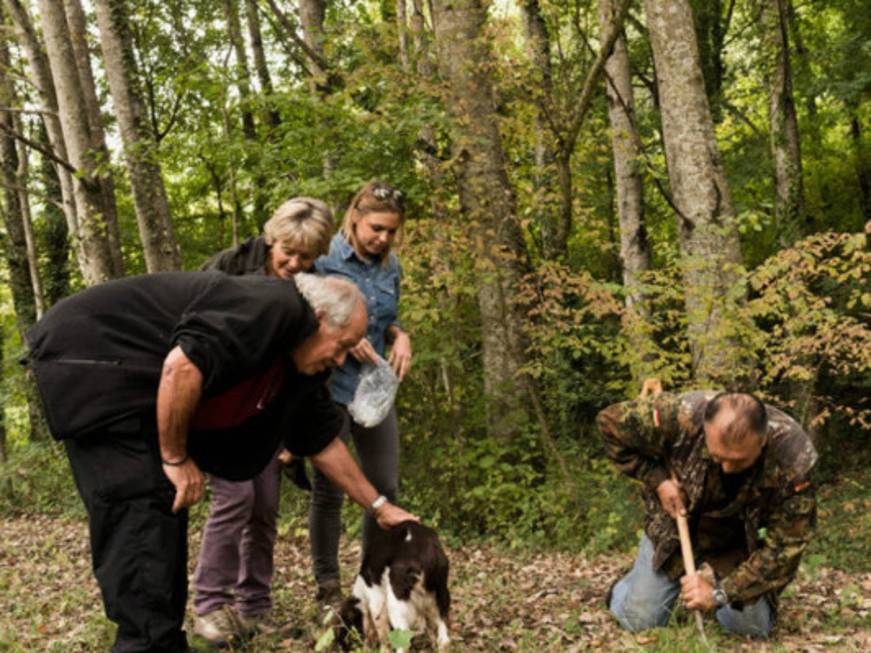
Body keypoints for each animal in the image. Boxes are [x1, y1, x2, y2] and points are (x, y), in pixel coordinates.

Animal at [338, 520, 454, 652]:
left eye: (346, 625)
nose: (342, 646)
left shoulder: (376, 601)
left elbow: (382, 634)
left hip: (396, 605)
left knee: (403, 645)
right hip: (441, 592)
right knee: (444, 639)